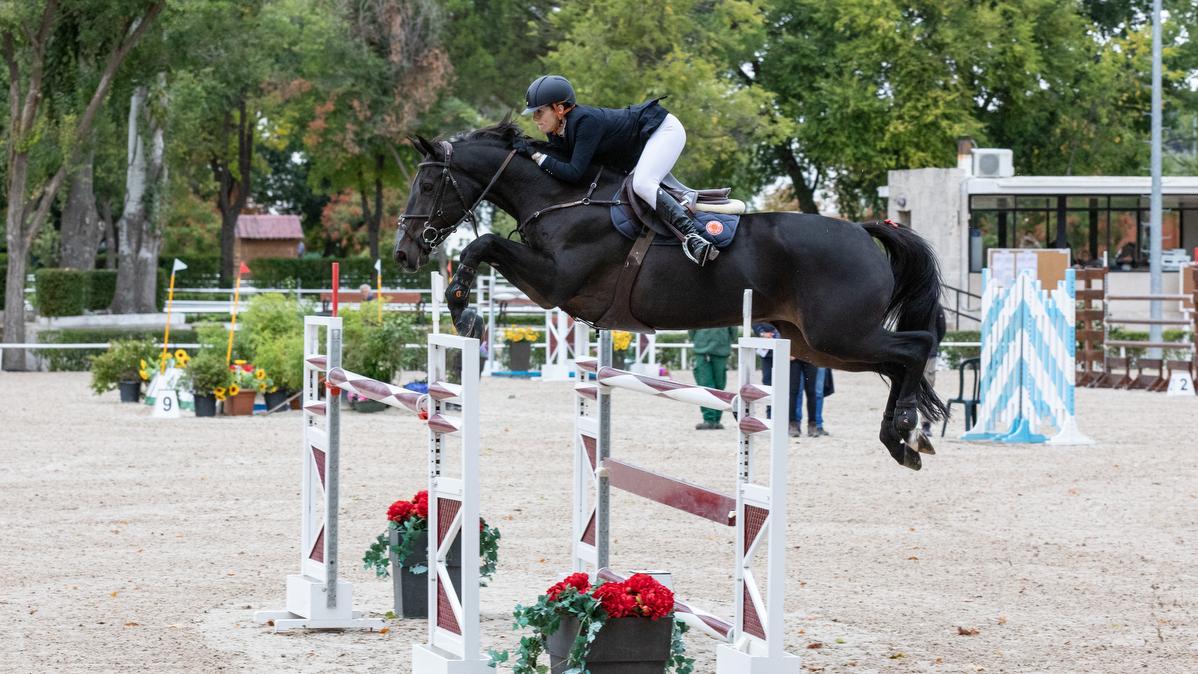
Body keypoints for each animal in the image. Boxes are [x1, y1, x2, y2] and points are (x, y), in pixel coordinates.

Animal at [397, 121, 948, 469]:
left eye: (426, 185)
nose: (404, 252)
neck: (561, 197)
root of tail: (863, 229)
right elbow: (489, 245)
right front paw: (463, 311)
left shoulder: (557, 283)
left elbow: (486, 243)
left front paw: (464, 309)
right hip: (818, 344)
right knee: (899, 360)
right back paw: (903, 439)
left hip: (840, 334)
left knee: (915, 347)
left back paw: (907, 427)